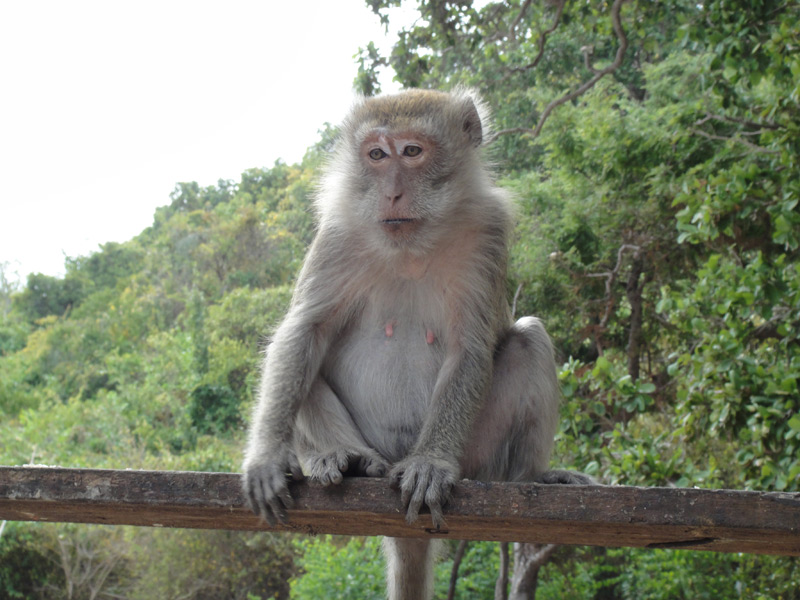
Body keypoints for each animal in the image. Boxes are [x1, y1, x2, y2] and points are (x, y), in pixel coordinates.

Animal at [241, 86, 592, 596]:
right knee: (301, 360)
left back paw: (532, 477)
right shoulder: (338, 231)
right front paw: (267, 455)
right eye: (376, 155)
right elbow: (304, 331)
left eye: (411, 151)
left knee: (529, 340)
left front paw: (429, 463)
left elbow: (470, 348)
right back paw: (347, 460)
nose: (391, 193)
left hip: (477, 458)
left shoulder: (488, 230)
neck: (411, 245)